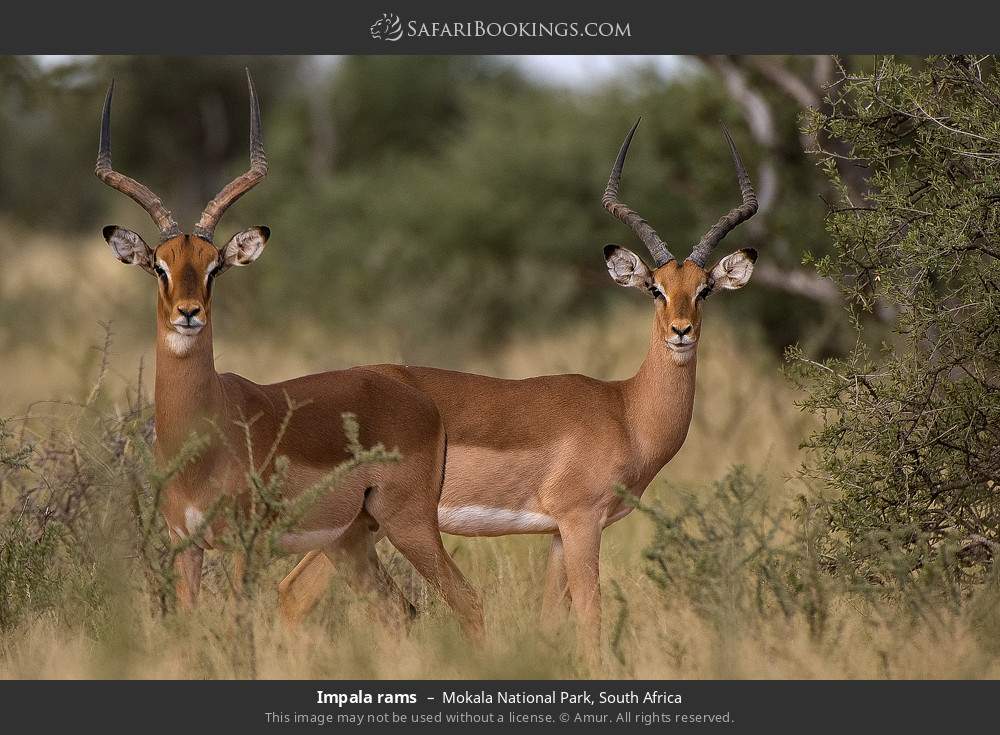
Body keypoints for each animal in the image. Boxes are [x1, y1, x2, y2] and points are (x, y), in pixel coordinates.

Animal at [95, 72, 482, 635]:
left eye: (214, 266)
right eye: (160, 266)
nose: (189, 313)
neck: (203, 434)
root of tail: (422, 400)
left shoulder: (242, 545)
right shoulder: (185, 545)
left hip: (409, 524)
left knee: (468, 602)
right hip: (353, 539)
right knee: (401, 611)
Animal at [277, 119, 759, 647]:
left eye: (704, 289)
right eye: (655, 288)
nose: (681, 331)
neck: (626, 411)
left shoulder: (556, 535)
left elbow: (550, 622)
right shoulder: (581, 522)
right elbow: (590, 620)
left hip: (356, 525)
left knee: (295, 592)